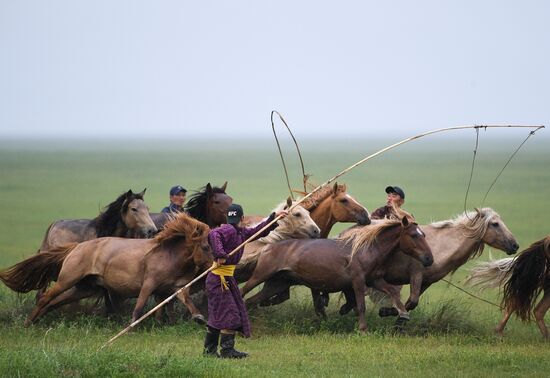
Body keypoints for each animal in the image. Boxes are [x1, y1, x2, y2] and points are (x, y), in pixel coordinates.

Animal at [0, 213, 215, 324]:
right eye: (205, 246)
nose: (217, 263)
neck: (169, 254)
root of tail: (76, 247)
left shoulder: (174, 288)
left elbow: (183, 301)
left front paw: (198, 317)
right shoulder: (148, 284)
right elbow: (139, 307)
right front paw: (131, 327)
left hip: (85, 288)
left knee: (55, 301)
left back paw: (38, 319)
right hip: (67, 279)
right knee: (46, 297)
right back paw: (28, 322)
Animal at [242, 214, 436, 332]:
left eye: (424, 235)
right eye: (414, 235)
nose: (429, 259)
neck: (366, 248)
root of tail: (266, 248)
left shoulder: (374, 280)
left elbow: (393, 293)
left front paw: (403, 314)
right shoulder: (358, 281)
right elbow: (360, 306)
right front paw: (363, 329)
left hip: (276, 284)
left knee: (251, 301)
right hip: (260, 276)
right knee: (243, 292)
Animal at [338, 208, 520, 318]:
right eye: (495, 224)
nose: (515, 245)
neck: (439, 246)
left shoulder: (427, 281)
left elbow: (411, 303)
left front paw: (389, 312)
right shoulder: (416, 275)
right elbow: (411, 301)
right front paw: (389, 313)